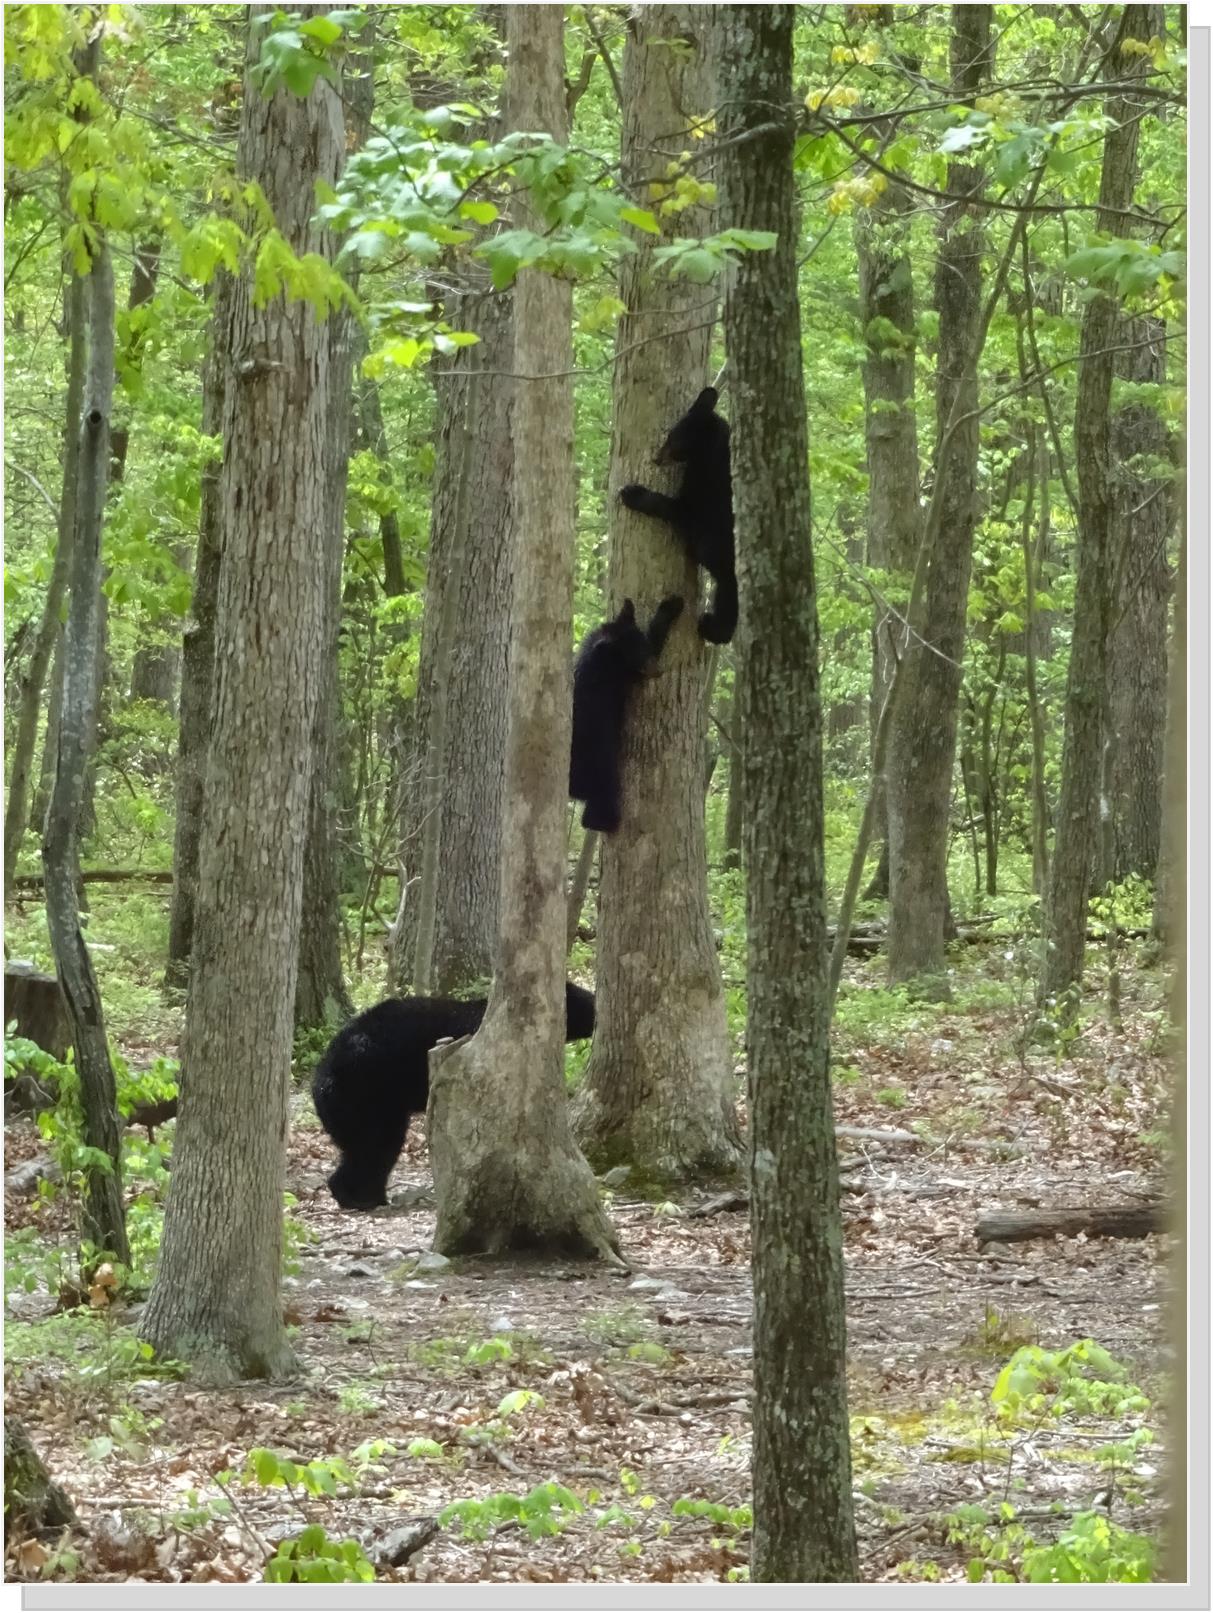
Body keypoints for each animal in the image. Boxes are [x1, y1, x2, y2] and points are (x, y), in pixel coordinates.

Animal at [312, 974, 596, 1206]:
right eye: (586, 1002)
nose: (597, 1006)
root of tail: (321, 1080)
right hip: (367, 1095)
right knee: (376, 1144)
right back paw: (364, 1197)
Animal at [567, 600, 683, 838]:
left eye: (642, 648)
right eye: (635, 655)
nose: (658, 670)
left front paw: (672, 605)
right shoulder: (619, 678)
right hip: (599, 763)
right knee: (605, 797)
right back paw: (605, 821)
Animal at [619, 387, 735, 645]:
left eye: (673, 440)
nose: (656, 458)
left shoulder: (703, 495)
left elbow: (674, 507)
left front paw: (632, 494)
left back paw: (713, 627)